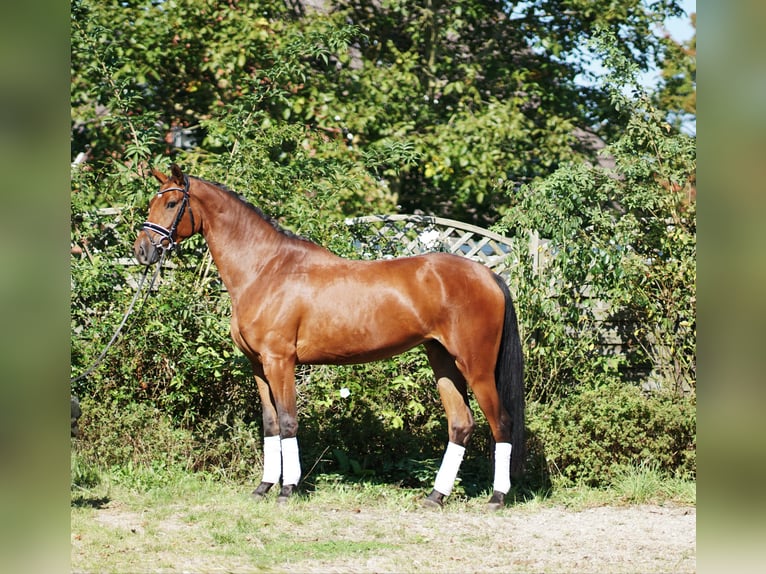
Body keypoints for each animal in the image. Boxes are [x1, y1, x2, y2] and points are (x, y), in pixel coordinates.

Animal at [135, 164, 524, 510]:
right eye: (153, 202)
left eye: (172, 203)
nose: (142, 250)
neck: (265, 269)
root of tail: (488, 275)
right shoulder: (258, 366)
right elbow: (271, 423)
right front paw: (263, 487)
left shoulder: (280, 362)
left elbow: (289, 421)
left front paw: (287, 489)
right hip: (442, 360)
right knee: (461, 424)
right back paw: (435, 496)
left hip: (476, 366)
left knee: (502, 423)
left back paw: (497, 497)